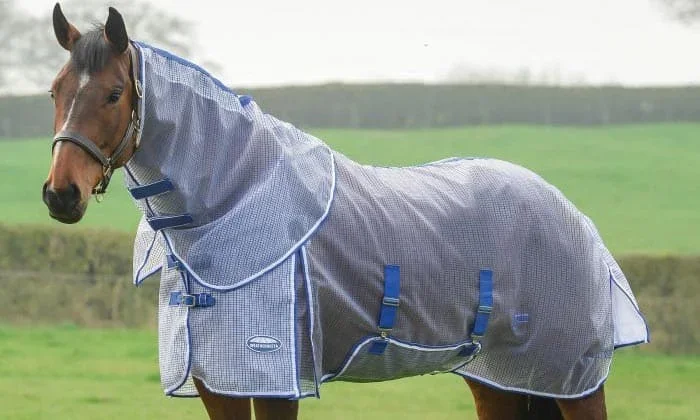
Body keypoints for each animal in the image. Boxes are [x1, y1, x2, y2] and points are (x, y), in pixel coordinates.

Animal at [43, 4, 648, 420]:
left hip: (573, 378)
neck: (231, 202)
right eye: (54, 90)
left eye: (115, 93)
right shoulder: (219, 383)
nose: (60, 195)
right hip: (499, 377)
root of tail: (576, 217)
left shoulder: (274, 382)